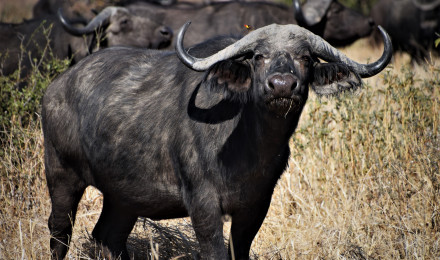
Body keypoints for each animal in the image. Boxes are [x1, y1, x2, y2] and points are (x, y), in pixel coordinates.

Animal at [42, 22, 392, 260]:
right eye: (259, 56)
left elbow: (240, 251)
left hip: (123, 197)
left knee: (108, 238)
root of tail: (57, 87)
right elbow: (214, 252)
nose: (282, 85)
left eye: (305, 57)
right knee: (59, 231)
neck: (248, 148)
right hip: (61, 176)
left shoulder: (256, 205)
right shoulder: (203, 203)